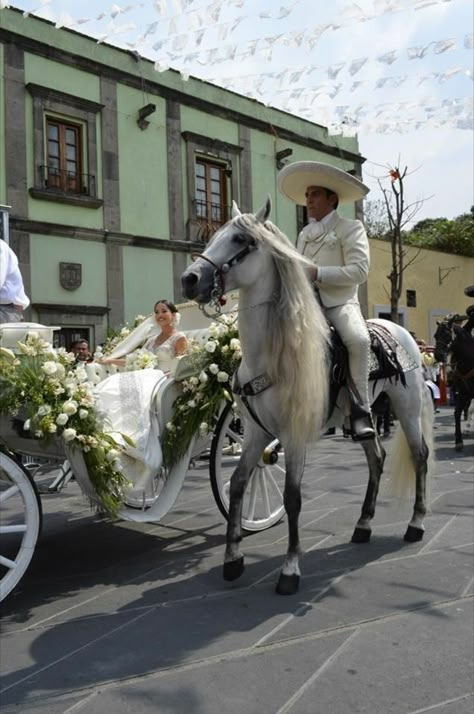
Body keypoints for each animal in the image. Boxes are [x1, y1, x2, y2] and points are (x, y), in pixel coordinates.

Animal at [181, 197, 434, 592]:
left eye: (240, 239)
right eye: (216, 233)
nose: (189, 279)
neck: (270, 354)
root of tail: (400, 332)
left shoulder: (294, 434)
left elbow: (292, 497)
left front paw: (290, 569)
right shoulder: (255, 434)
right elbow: (237, 485)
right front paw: (232, 558)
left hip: (407, 408)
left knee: (419, 456)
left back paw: (415, 524)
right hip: (363, 418)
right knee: (376, 458)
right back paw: (363, 525)